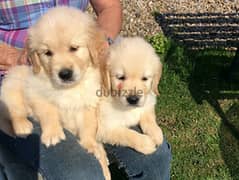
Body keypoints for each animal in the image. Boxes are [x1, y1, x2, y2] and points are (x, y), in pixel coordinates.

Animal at [0, 6, 110, 179]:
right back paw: (22, 127)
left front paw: (90, 145)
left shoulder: (87, 103)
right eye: (48, 53)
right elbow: (48, 113)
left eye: (74, 48)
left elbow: (88, 126)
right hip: (12, 85)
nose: (64, 74)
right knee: (12, 112)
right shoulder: (37, 93)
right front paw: (53, 134)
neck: (68, 88)